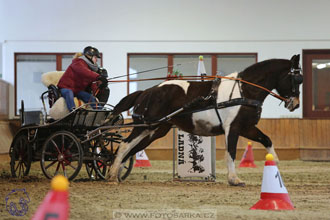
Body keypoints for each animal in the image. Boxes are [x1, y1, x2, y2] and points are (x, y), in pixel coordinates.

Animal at [109, 54, 302, 186]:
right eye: (297, 78)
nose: (296, 104)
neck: (243, 90)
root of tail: (146, 92)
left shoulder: (246, 127)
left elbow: (267, 139)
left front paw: (274, 163)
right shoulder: (232, 127)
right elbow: (231, 152)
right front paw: (234, 179)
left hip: (155, 130)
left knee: (132, 149)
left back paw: (117, 172)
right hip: (144, 127)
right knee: (125, 145)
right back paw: (111, 174)